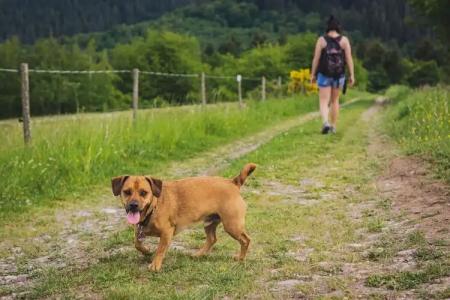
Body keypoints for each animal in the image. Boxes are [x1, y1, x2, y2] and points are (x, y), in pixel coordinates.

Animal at [110, 164, 255, 272]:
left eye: (143, 193)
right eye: (127, 192)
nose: (133, 205)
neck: (153, 208)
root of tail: (233, 183)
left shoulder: (166, 233)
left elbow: (160, 250)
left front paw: (155, 264)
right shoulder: (139, 230)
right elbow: (137, 243)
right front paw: (146, 251)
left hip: (232, 226)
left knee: (245, 240)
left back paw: (241, 259)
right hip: (210, 223)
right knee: (212, 239)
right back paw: (199, 254)